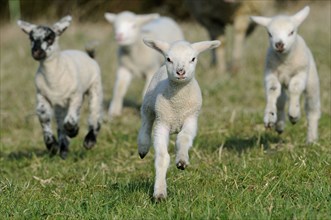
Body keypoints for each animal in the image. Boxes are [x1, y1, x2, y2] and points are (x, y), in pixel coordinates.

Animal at [17, 16, 104, 159]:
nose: (36, 52)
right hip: (59, 106)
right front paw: (52, 146)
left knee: (94, 115)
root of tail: (89, 56)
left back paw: (89, 141)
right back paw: (63, 150)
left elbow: (69, 121)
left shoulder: (75, 96)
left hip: (95, 88)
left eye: (50, 38)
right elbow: (44, 117)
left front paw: (74, 131)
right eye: (31, 38)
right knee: (60, 125)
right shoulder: (42, 96)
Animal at [137, 38, 220, 201]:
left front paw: (181, 161)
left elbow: (183, 138)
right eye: (169, 59)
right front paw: (159, 192)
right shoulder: (162, 123)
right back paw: (143, 147)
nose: (180, 72)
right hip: (149, 104)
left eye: (193, 58)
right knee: (146, 122)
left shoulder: (191, 119)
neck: (178, 104)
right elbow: (162, 158)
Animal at [252, 6, 322, 144]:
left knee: (312, 109)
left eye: (291, 32)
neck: (285, 63)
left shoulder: (300, 73)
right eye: (269, 34)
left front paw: (294, 114)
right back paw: (279, 124)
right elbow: (273, 90)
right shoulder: (271, 74)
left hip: (312, 81)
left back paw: (311, 139)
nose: (279, 44)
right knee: (281, 100)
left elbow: (295, 88)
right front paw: (269, 117)